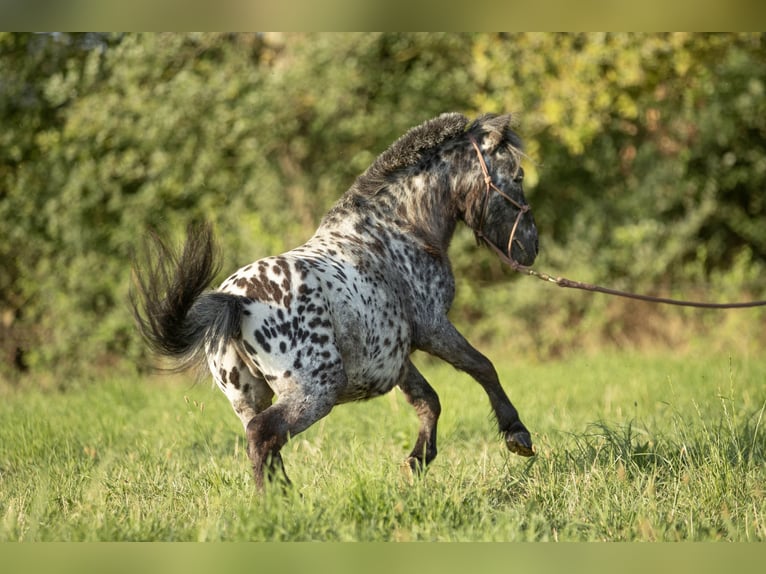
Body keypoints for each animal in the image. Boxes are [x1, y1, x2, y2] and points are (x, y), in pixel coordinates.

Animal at [132, 112, 540, 490]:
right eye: (518, 177)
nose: (531, 245)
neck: (399, 229)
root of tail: (235, 302)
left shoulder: (397, 355)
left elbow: (429, 400)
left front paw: (417, 461)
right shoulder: (433, 327)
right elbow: (482, 366)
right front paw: (517, 435)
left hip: (250, 399)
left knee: (262, 440)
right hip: (315, 392)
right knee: (263, 435)